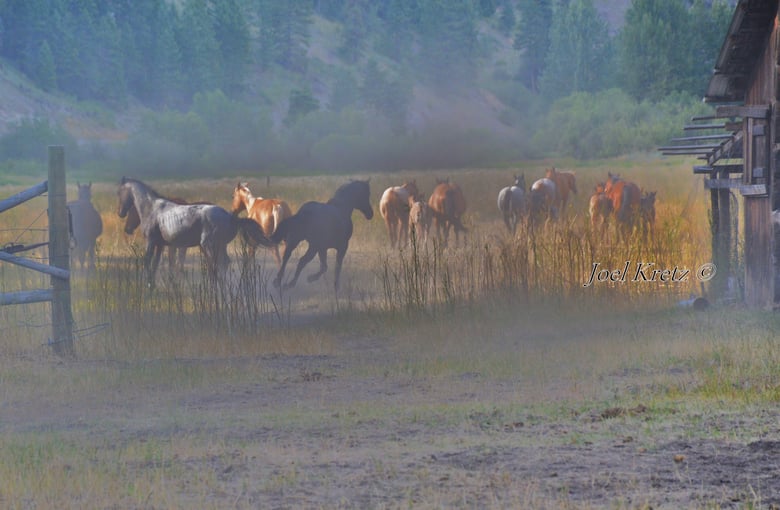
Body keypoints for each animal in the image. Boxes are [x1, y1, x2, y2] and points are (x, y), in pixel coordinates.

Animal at [116, 177, 272, 284]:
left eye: (119, 193)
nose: (121, 213)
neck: (152, 209)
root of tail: (231, 217)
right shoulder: (160, 245)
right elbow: (155, 264)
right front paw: (152, 284)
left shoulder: (151, 242)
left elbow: (147, 261)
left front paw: (148, 284)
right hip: (220, 246)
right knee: (223, 264)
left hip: (208, 246)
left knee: (215, 266)